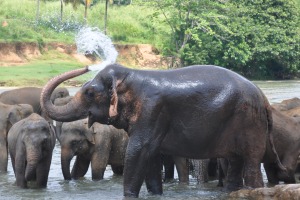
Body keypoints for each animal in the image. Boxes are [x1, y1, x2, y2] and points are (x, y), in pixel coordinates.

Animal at [39, 63, 286, 197]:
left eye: (90, 92)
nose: (87, 66)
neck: (130, 75)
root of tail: (264, 98)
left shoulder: (152, 110)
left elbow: (138, 152)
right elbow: (151, 157)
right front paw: (155, 193)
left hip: (249, 123)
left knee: (251, 163)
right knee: (235, 162)